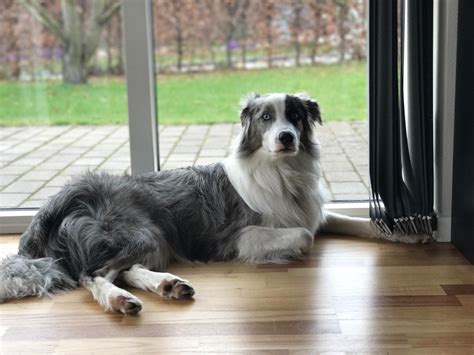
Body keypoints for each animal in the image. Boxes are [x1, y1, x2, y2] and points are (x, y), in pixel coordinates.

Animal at [0, 94, 430, 314]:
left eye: (294, 115)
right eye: (265, 117)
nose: (287, 137)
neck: (282, 171)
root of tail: (63, 196)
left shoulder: (315, 212)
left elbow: (360, 222)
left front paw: (411, 232)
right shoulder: (232, 237)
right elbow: (304, 235)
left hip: (154, 238)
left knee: (126, 270)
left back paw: (168, 286)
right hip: (140, 231)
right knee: (93, 275)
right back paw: (120, 300)